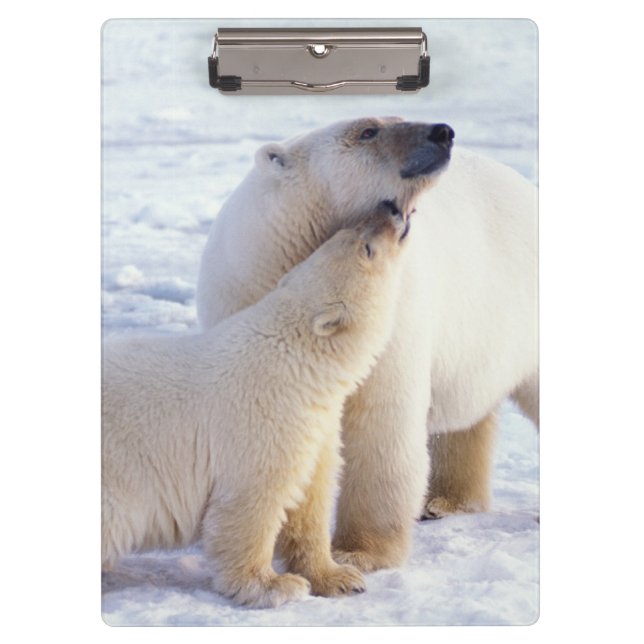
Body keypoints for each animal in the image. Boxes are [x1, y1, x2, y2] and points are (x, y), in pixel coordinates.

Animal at [102, 204, 411, 608]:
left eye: (347, 232)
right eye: (366, 247)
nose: (391, 209)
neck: (297, 360)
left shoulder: (314, 425)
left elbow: (309, 498)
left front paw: (339, 577)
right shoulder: (264, 418)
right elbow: (252, 503)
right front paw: (274, 585)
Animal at [196, 117, 539, 572]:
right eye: (368, 131)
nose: (443, 131)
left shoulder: (391, 311)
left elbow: (380, 420)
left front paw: (359, 551)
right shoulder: (243, 297)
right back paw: (445, 500)